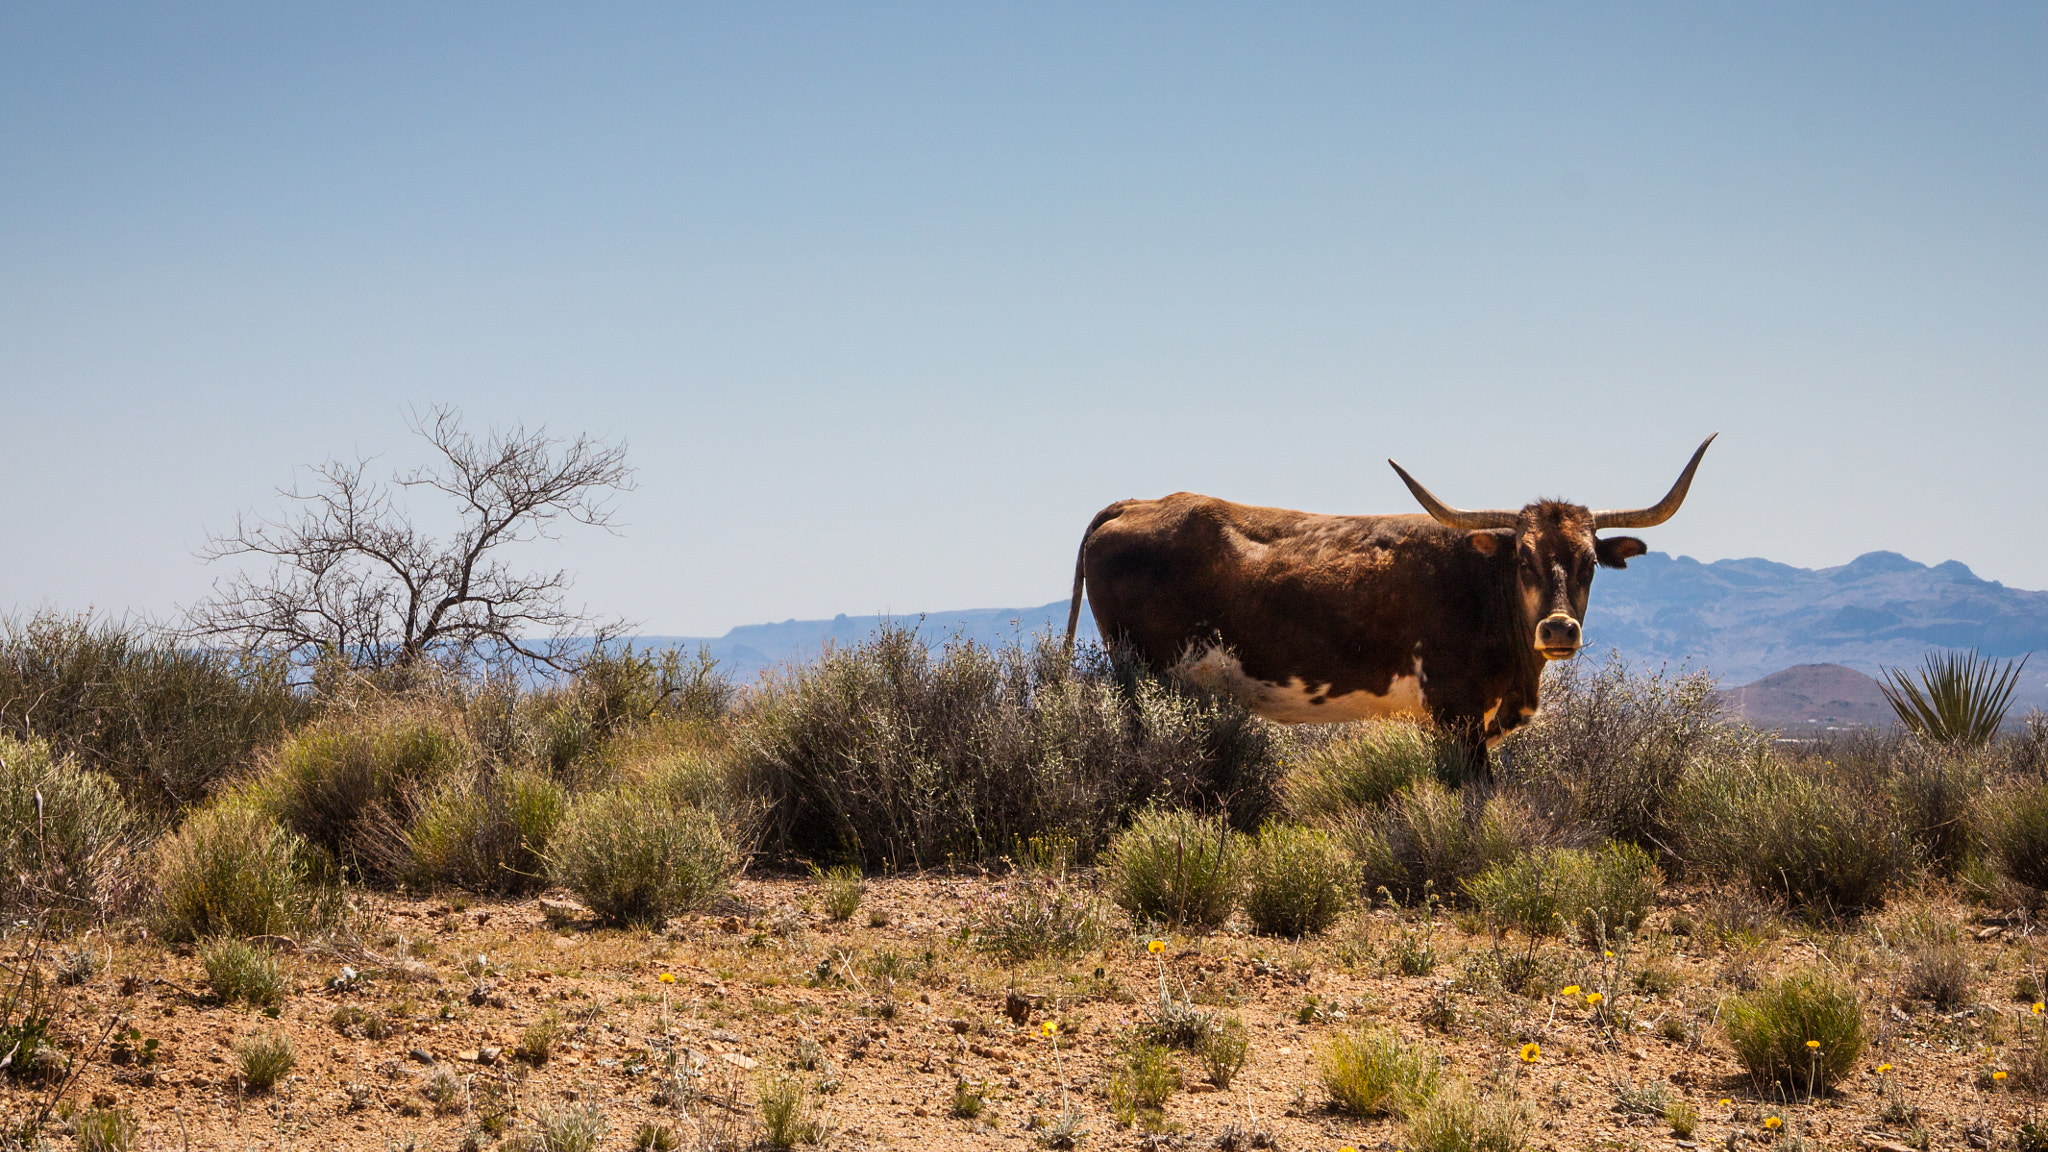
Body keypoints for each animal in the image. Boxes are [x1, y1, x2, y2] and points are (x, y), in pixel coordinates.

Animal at [1063, 435, 1716, 775]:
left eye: (1588, 562)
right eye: (1523, 558)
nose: (1558, 629)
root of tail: (1139, 504)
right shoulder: (1457, 714)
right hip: (1140, 674)